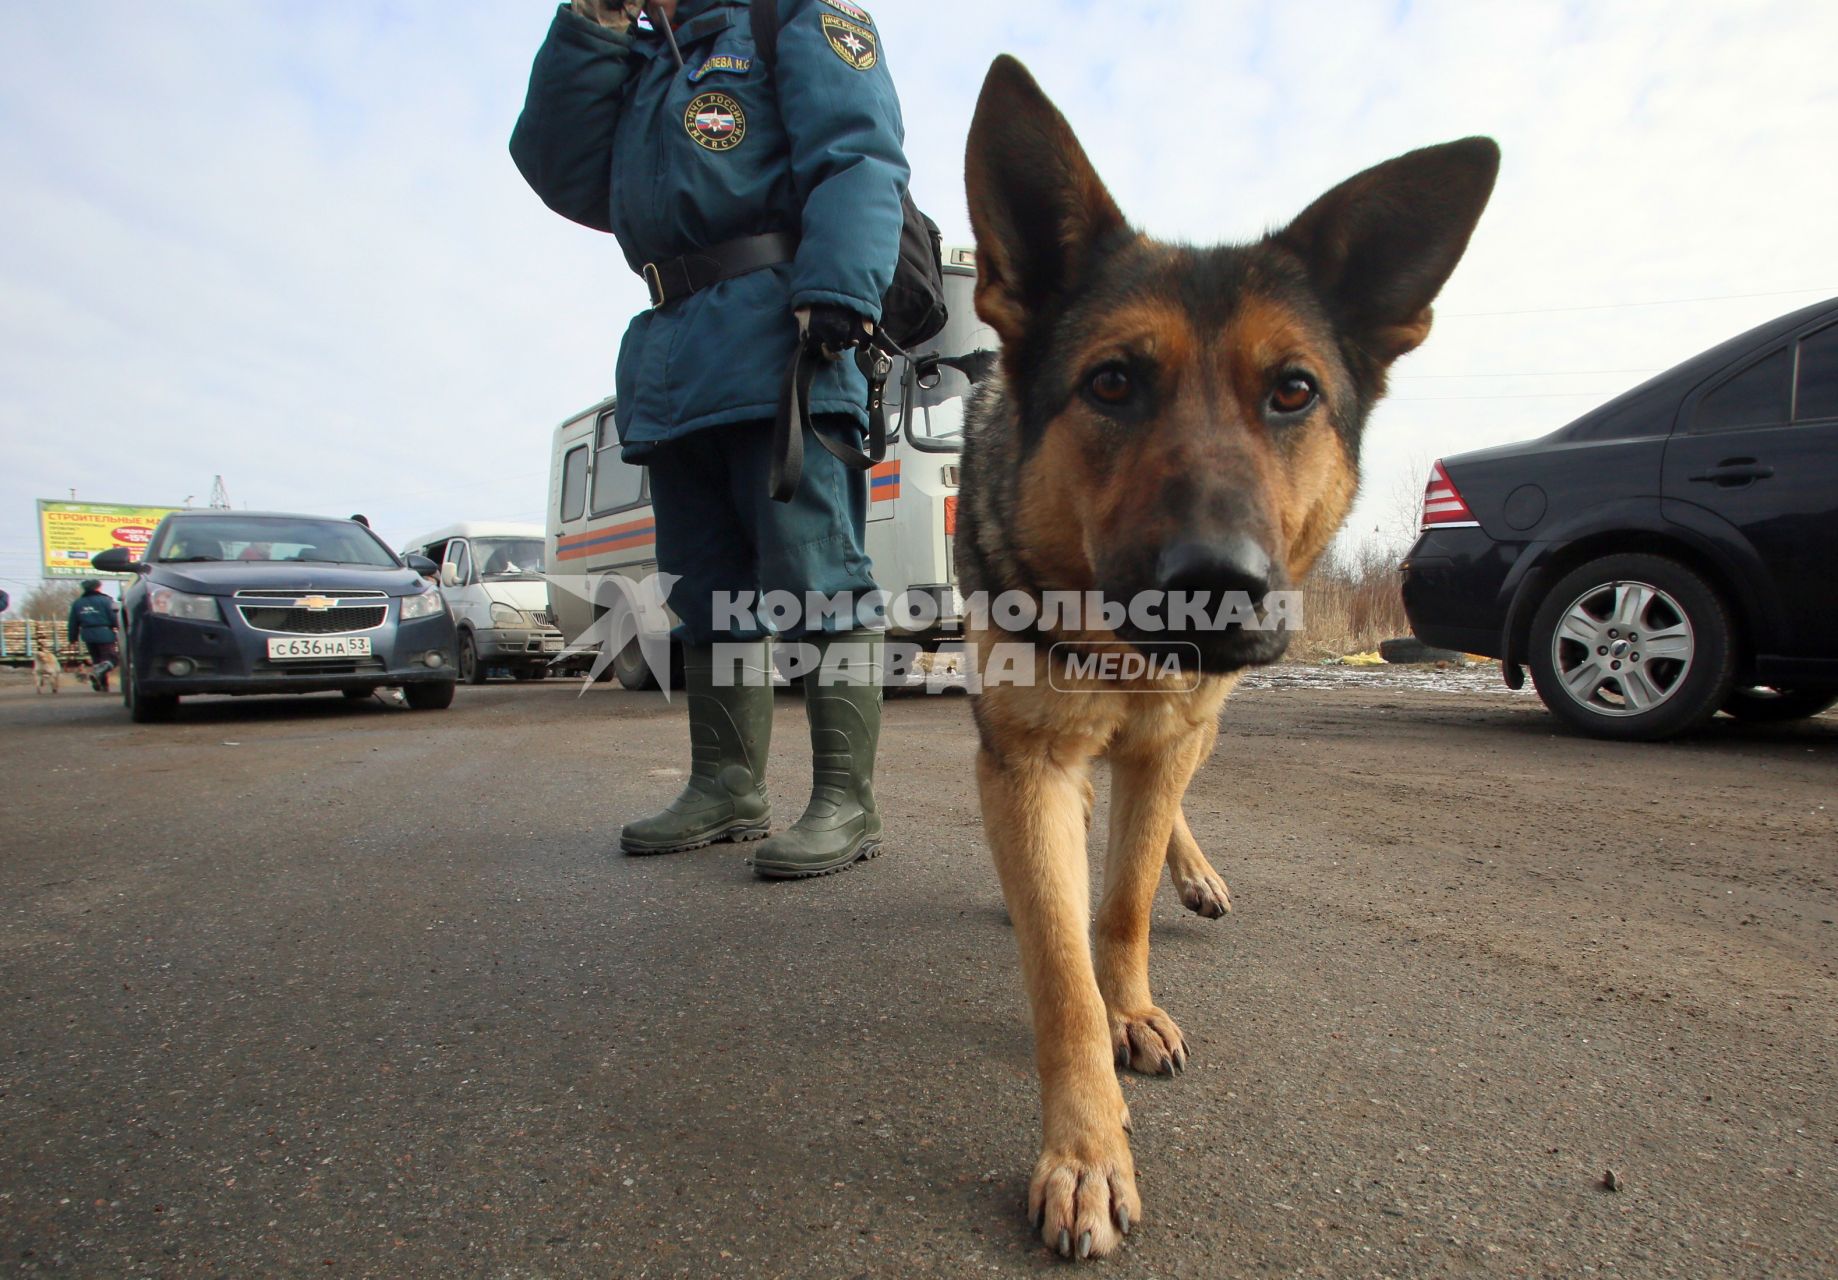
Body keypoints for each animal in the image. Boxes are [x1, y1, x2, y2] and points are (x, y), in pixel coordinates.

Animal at [955, 54, 1499, 1257]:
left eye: (1291, 391)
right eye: (1111, 382)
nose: (1218, 586)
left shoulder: (1169, 734)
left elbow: (1118, 908)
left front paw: (1128, 1002)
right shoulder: (1026, 753)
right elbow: (1060, 969)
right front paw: (1084, 1151)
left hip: (1195, 726)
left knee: (1162, 818)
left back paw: (1186, 871)